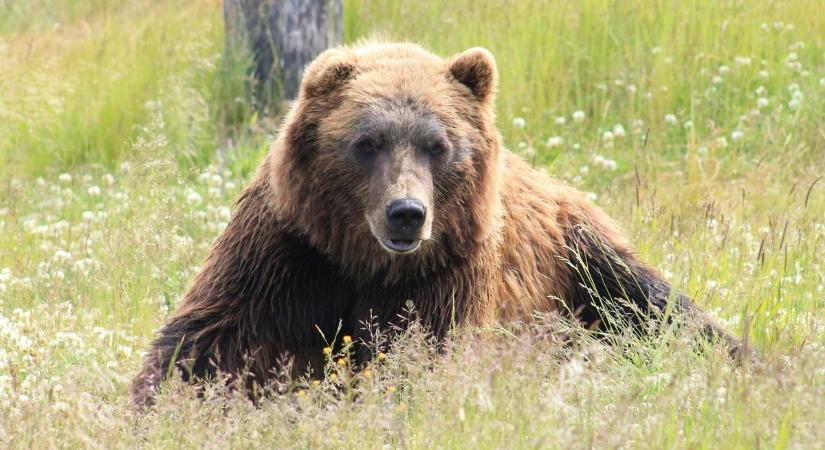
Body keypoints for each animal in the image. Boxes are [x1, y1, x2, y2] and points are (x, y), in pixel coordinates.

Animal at [130, 42, 748, 408]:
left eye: (437, 145)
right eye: (367, 141)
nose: (406, 212)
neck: (364, 262)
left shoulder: (446, 272)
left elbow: (418, 357)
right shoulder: (289, 253)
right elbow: (208, 340)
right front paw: (158, 404)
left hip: (581, 257)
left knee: (657, 308)